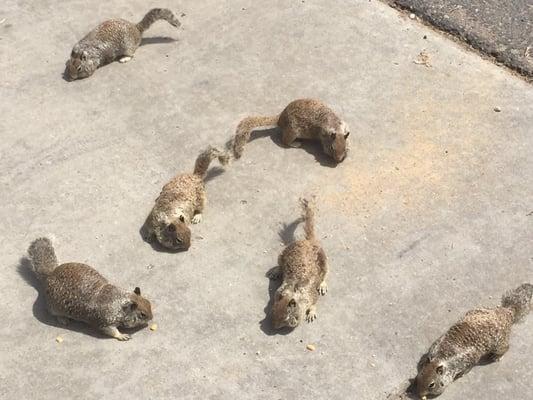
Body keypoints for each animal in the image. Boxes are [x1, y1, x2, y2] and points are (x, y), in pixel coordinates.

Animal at [268, 198, 326, 330]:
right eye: (273, 310)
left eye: (286, 318)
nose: (274, 326)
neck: (293, 293)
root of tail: (308, 241)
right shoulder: (279, 291)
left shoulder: (311, 295)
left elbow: (314, 303)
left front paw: (311, 313)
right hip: (282, 254)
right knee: (280, 265)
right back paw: (276, 271)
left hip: (325, 262)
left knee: (325, 275)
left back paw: (323, 284)